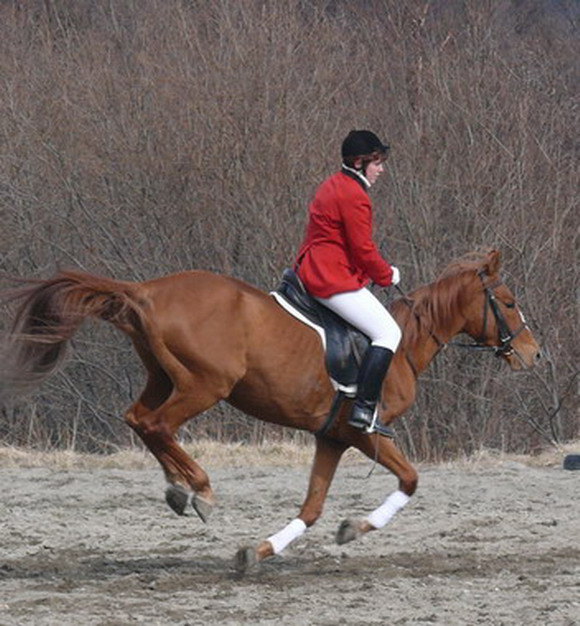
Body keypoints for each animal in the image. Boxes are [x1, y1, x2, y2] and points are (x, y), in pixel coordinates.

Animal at [3, 249, 540, 572]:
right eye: (510, 302)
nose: (534, 355)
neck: (403, 344)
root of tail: (148, 290)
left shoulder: (332, 437)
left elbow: (313, 507)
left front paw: (259, 551)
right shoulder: (365, 432)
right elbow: (410, 480)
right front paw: (355, 529)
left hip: (165, 379)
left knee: (138, 419)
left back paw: (179, 487)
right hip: (204, 385)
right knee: (156, 424)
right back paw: (199, 489)